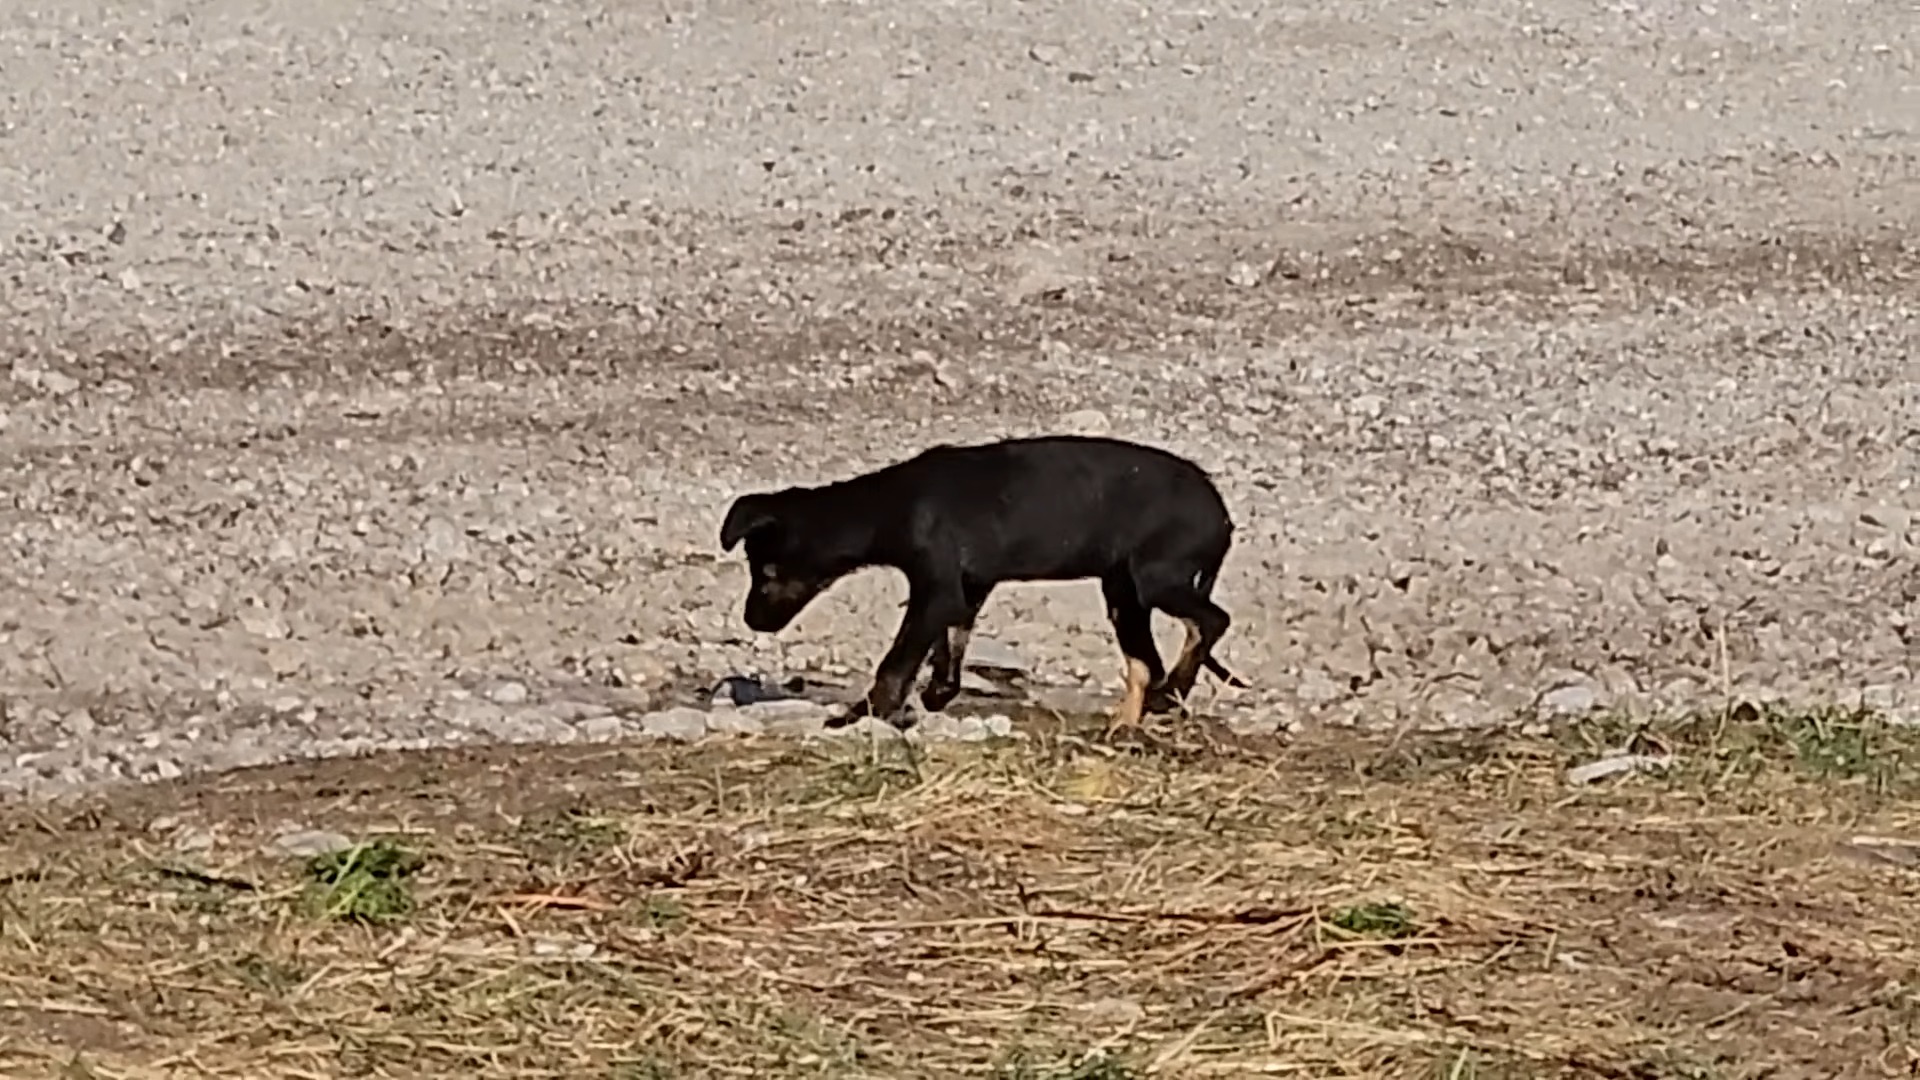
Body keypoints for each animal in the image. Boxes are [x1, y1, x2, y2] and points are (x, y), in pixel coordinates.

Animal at [718, 434, 1244, 730]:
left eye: (768, 573)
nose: (752, 620)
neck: (890, 506)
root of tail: (1222, 516)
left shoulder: (936, 589)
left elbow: (897, 662)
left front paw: (861, 714)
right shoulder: (967, 587)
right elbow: (950, 649)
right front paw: (934, 695)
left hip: (1155, 578)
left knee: (1211, 622)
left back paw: (1171, 692)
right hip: (1124, 591)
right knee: (1145, 662)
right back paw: (1132, 717)